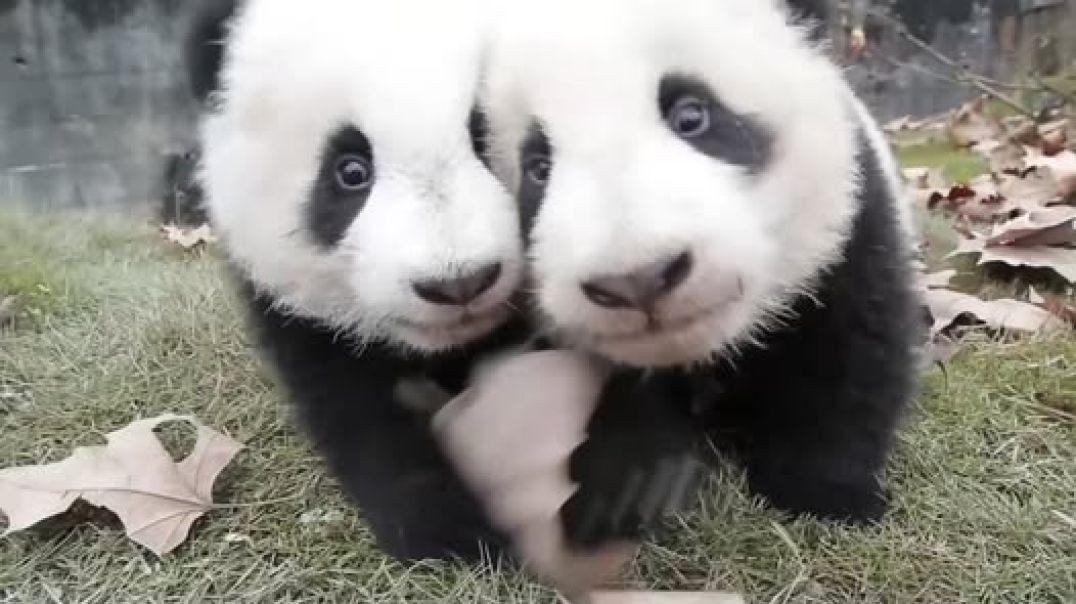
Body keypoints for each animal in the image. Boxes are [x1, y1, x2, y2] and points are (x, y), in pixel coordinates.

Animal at [183, 0, 531, 562]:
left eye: (487, 139)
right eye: (350, 171)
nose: (459, 284)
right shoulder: (291, 305)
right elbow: (353, 408)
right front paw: (446, 531)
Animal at [479, 0, 924, 549]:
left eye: (691, 115)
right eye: (538, 167)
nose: (638, 279)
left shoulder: (848, 228)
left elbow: (850, 351)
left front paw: (828, 494)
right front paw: (630, 487)